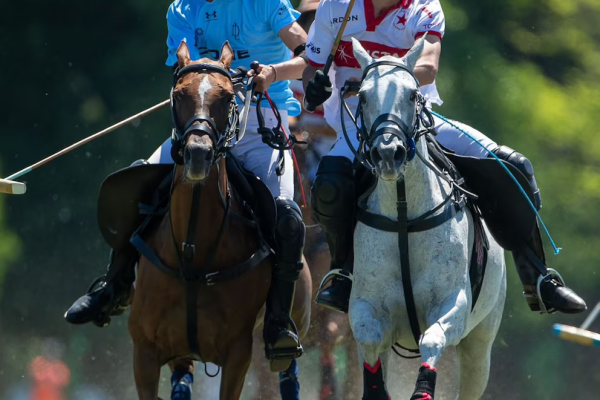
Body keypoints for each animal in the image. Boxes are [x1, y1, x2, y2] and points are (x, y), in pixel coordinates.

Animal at [128, 41, 312, 400]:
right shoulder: (144, 351)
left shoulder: (238, 354)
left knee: (287, 369)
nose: (198, 154)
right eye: (178, 94)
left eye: (228, 98)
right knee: (182, 376)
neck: (193, 252)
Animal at [346, 36, 506, 400]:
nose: (388, 153)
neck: (404, 215)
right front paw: (376, 391)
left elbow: (432, 338)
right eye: (362, 96)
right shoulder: (364, 305)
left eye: (410, 94)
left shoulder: (453, 304)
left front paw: (421, 391)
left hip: (480, 346)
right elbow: (369, 337)